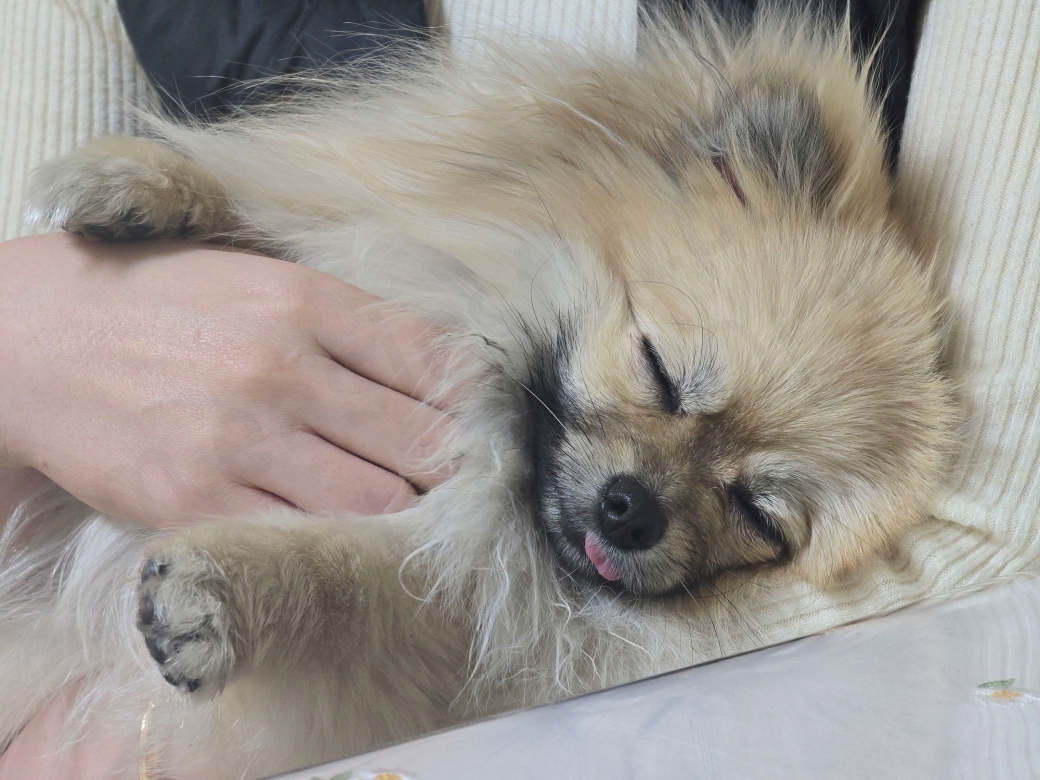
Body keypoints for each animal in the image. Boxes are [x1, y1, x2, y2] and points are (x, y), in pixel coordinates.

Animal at [1, 9, 954, 779]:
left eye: (757, 514)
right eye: (658, 367)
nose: (633, 511)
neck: (488, 426)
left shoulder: (445, 594)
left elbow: (351, 579)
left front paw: (226, 591)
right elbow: (273, 217)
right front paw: (137, 184)